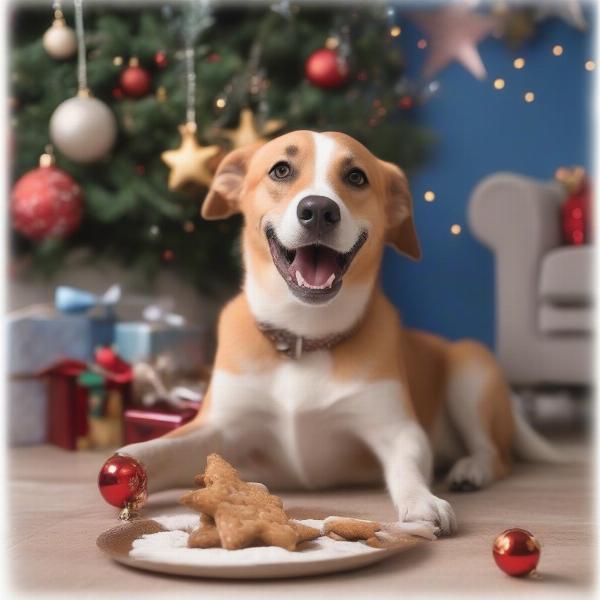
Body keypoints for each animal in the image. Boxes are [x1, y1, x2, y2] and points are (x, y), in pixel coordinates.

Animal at [119, 130, 560, 536]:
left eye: (356, 176)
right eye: (281, 170)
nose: (318, 210)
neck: (303, 340)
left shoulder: (397, 429)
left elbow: (406, 467)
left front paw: (423, 500)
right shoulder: (217, 427)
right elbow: (161, 447)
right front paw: (125, 466)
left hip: (471, 368)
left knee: (496, 453)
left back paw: (471, 469)